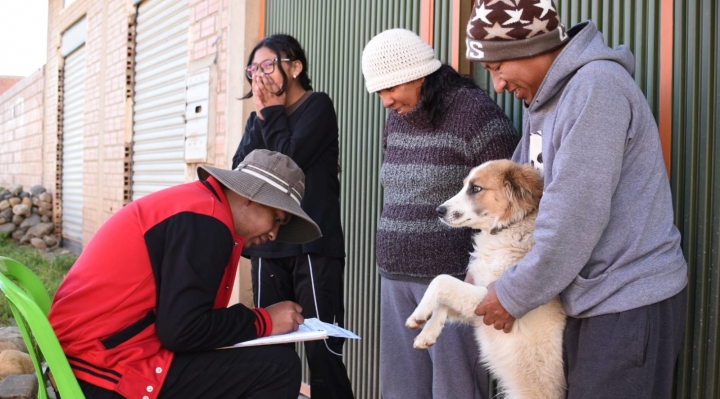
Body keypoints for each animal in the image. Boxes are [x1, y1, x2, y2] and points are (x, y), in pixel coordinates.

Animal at [408, 160, 564, 399]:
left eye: (476, 188)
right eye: (464, 185)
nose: (439, 210)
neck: (506, 229)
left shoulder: (491, 298)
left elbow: (441, 280)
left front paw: (418, 315)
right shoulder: (476, 304)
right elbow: (444, 302)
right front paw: (428, 333)